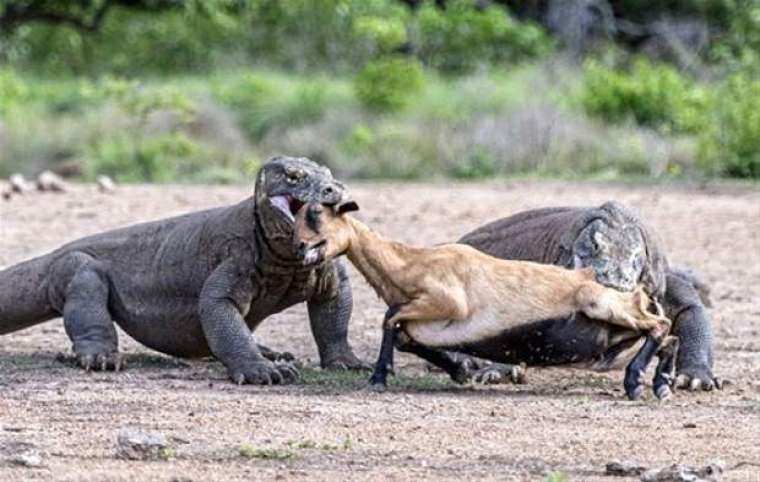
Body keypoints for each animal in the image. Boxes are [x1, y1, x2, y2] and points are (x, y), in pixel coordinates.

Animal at [294, 201, 672, 398]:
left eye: (317, 216)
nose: (299, 247)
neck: (408, 264)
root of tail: (639, 294)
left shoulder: (448, 301)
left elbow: (391, 318)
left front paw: (379, 375)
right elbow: (400, 331)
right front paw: (460, 370)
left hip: (602, 303)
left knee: (660, 326)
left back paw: (636, 382)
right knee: (667, 336)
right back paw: (661, 383)